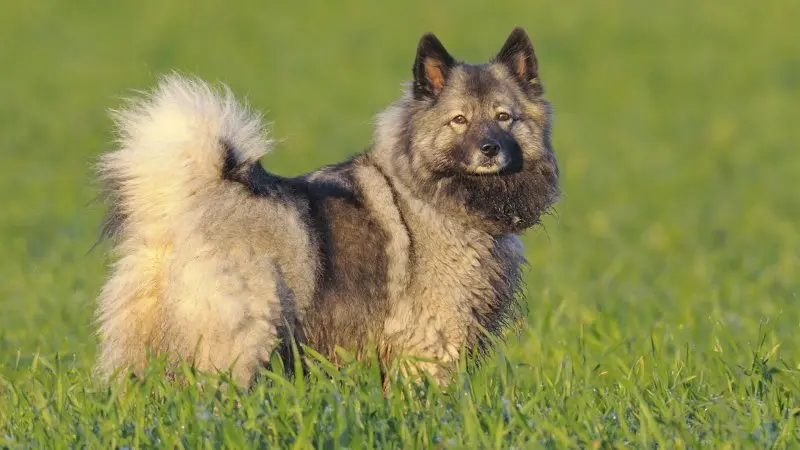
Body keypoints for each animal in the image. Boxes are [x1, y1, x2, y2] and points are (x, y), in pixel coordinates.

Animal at [94, 26, 560, 388]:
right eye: (459, 120)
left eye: (504, 117)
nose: (490, 149)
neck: (430, 194)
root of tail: (187, 202)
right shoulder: (432, 340)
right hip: (241, 338)